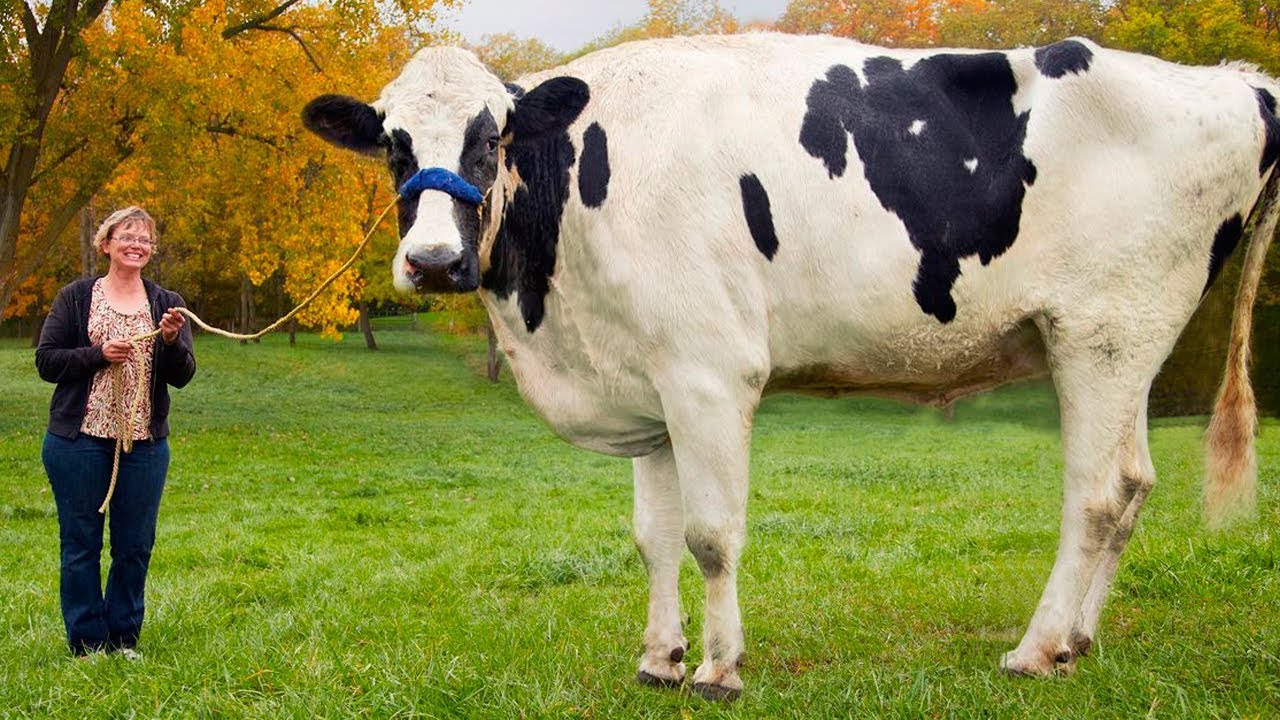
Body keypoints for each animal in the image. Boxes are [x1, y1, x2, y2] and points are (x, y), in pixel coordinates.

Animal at [303, 33, 1278, 699]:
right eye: (392, 141)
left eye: (493, 135)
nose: (434, 263)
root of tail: (1235, 79)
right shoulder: (652, 380)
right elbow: (653, 536)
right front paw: (659, 659)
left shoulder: (710, 370)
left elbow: (710, 534)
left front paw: (719, 670)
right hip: (1127, 344)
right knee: (1134, 483)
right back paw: (1078, 642)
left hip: (1101, 332)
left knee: (1098, 494)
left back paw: (1036, 649)